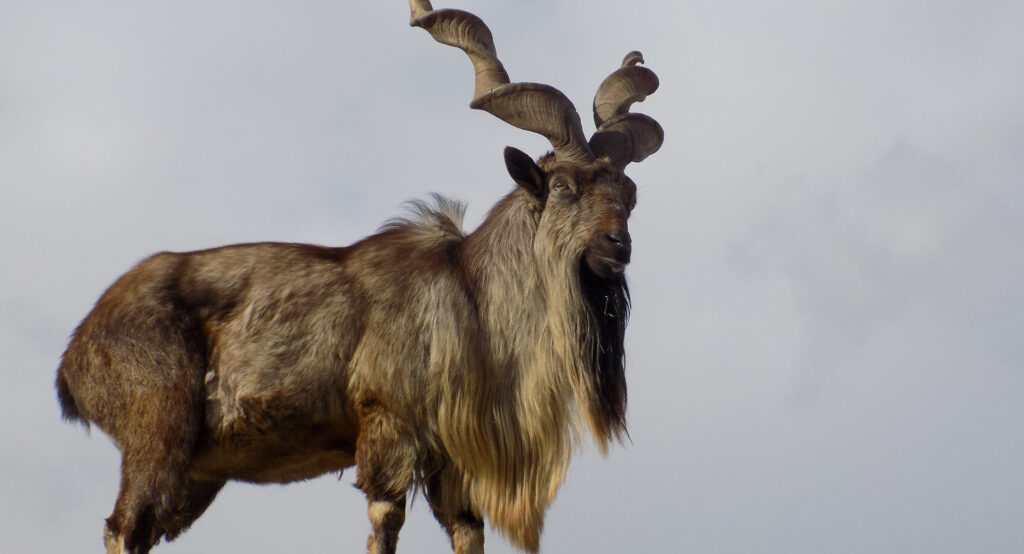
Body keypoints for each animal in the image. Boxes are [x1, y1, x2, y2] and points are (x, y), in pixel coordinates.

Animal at [56, 2, 663, 548]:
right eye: (561, 186)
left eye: (629, 194)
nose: (617, 246)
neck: (472, 298)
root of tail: (79, 348)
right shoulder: (386, 429)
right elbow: (384, 520)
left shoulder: (452, 466)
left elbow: (466, 530)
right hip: (156, 432)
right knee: (125, 526)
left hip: (197, 472)